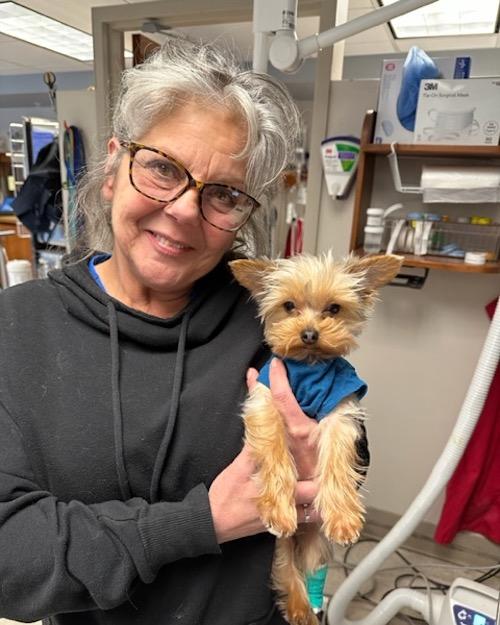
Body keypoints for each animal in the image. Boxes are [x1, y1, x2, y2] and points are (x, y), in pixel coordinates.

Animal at [229, 251, 402, 624]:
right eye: (288, 306)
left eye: (334, 309)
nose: (309, 333)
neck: (308, 365)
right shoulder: (265, 398)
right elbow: (274, 447)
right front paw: (278, 506)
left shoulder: (341, 408)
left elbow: (337, 456)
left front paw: (343, 515)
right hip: (279, 544)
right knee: (285, 566)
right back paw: (298, 605)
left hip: (315, 542)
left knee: (308, 565)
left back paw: (307, 606)